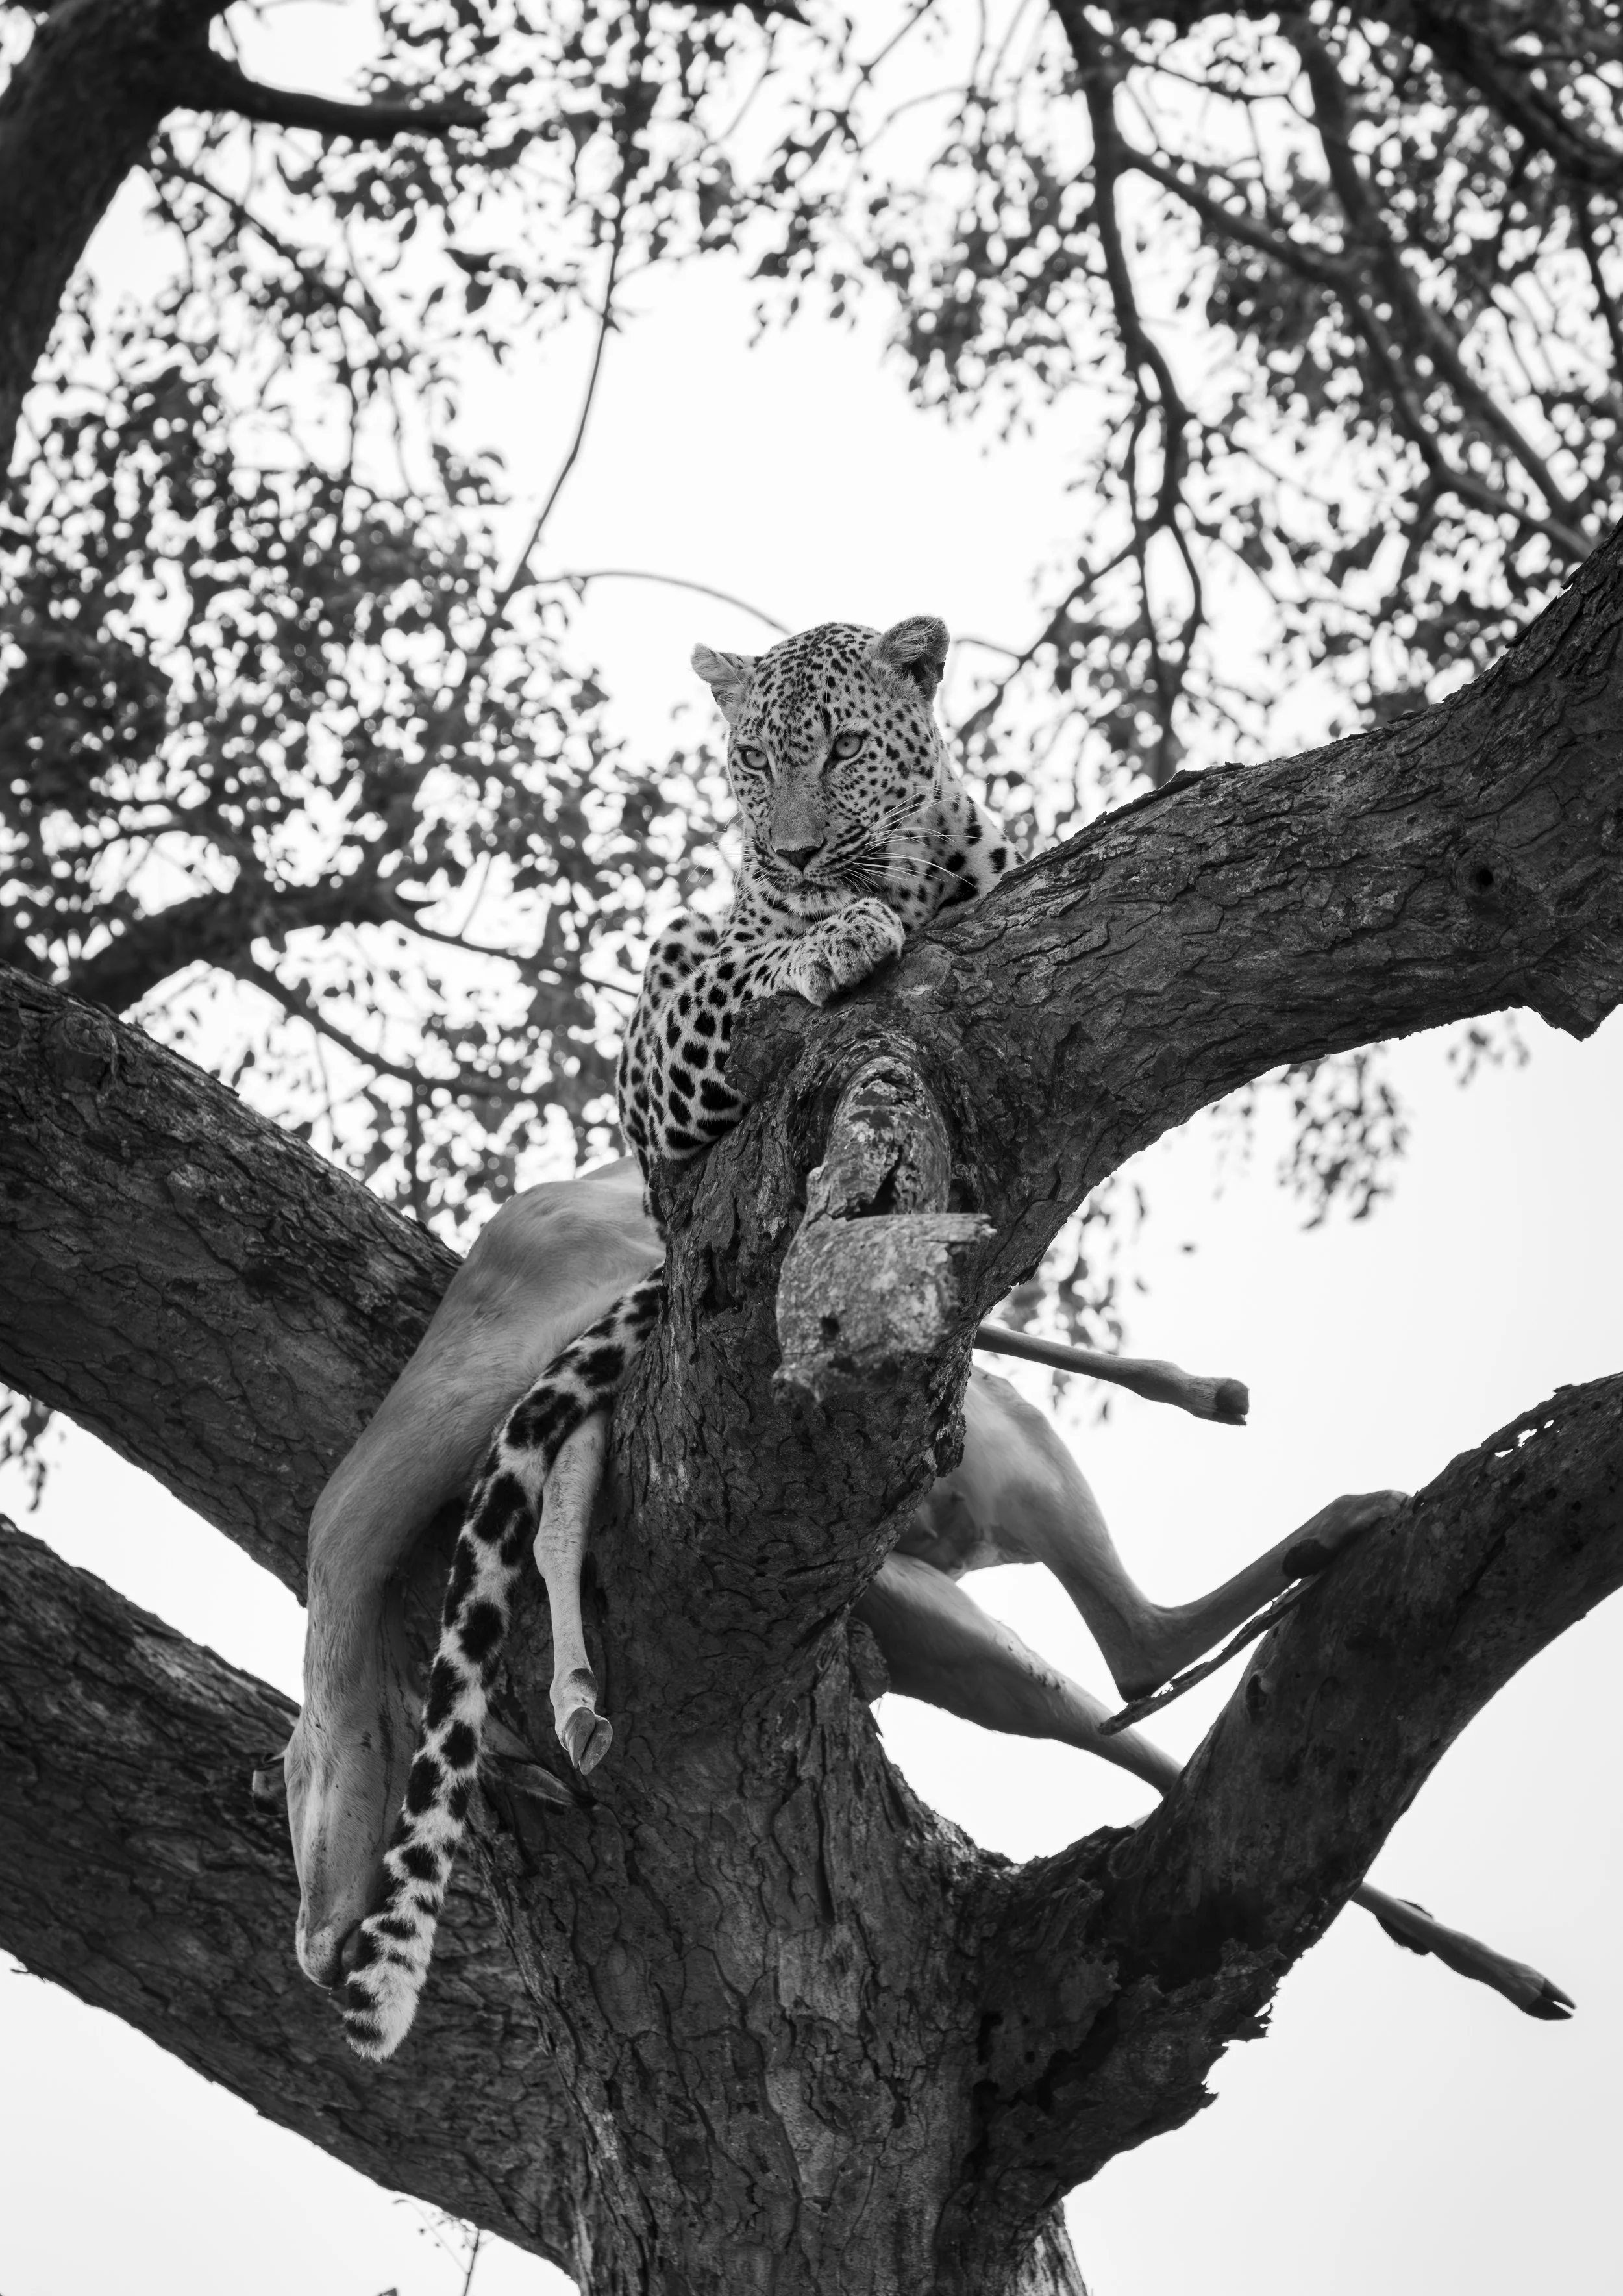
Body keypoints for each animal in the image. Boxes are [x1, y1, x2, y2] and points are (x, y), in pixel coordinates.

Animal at [340, 615, 1014, 2059]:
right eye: (752, 760)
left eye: (839, 748)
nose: (796, 851)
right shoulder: (666, 1035)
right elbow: (732, 959)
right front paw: (837, 930)